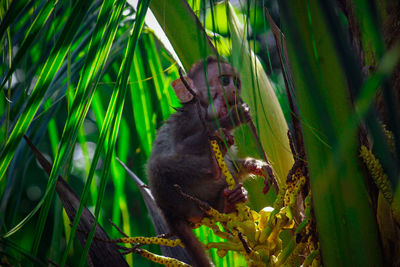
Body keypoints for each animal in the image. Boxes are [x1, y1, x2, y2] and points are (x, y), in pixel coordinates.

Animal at [145, 56, 268, 267]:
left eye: (237, 82)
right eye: (225, 80)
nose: (234, 90)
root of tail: (168, 212)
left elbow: (233, 162)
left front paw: (257, 166)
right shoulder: (192, 117)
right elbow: (181, 147)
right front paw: (234, 117)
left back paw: (228, 201)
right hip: (176, 198)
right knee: (157, 166)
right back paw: (214, 167)